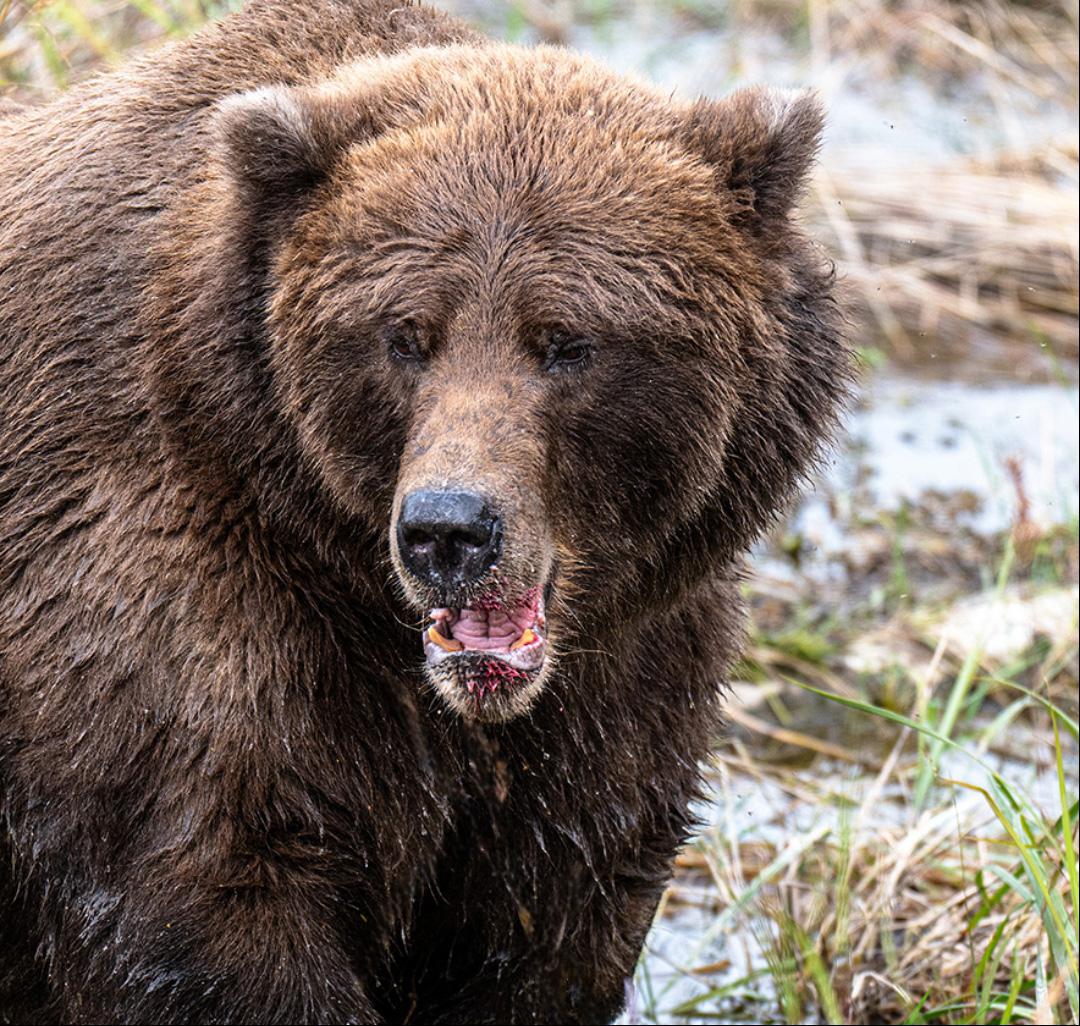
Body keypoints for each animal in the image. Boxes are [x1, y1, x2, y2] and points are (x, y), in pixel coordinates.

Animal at [0, 1, 849, 1022]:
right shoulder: (171, 635)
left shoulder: (615, 687)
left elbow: (550, 916)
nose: (450, 530)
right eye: (405, 335)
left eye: (567, 341)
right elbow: (208, 906)